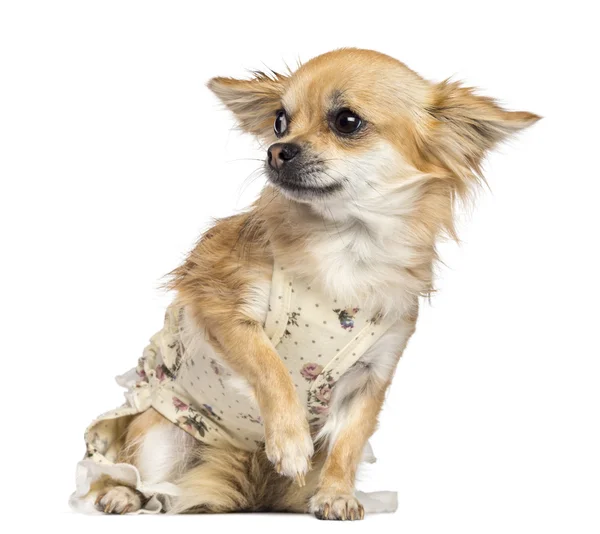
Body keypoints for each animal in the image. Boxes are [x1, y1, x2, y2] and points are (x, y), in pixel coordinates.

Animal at [70, 48, 540, 520]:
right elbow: (270, 366)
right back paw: (125, 494)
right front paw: (291, 443)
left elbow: (349, 442)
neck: (348, 245)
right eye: (280, 121)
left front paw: (336, 494)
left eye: (347, 121)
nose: (277, 150)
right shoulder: (221, 309)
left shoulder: (372, 375)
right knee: (139, 473)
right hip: (161, 433)